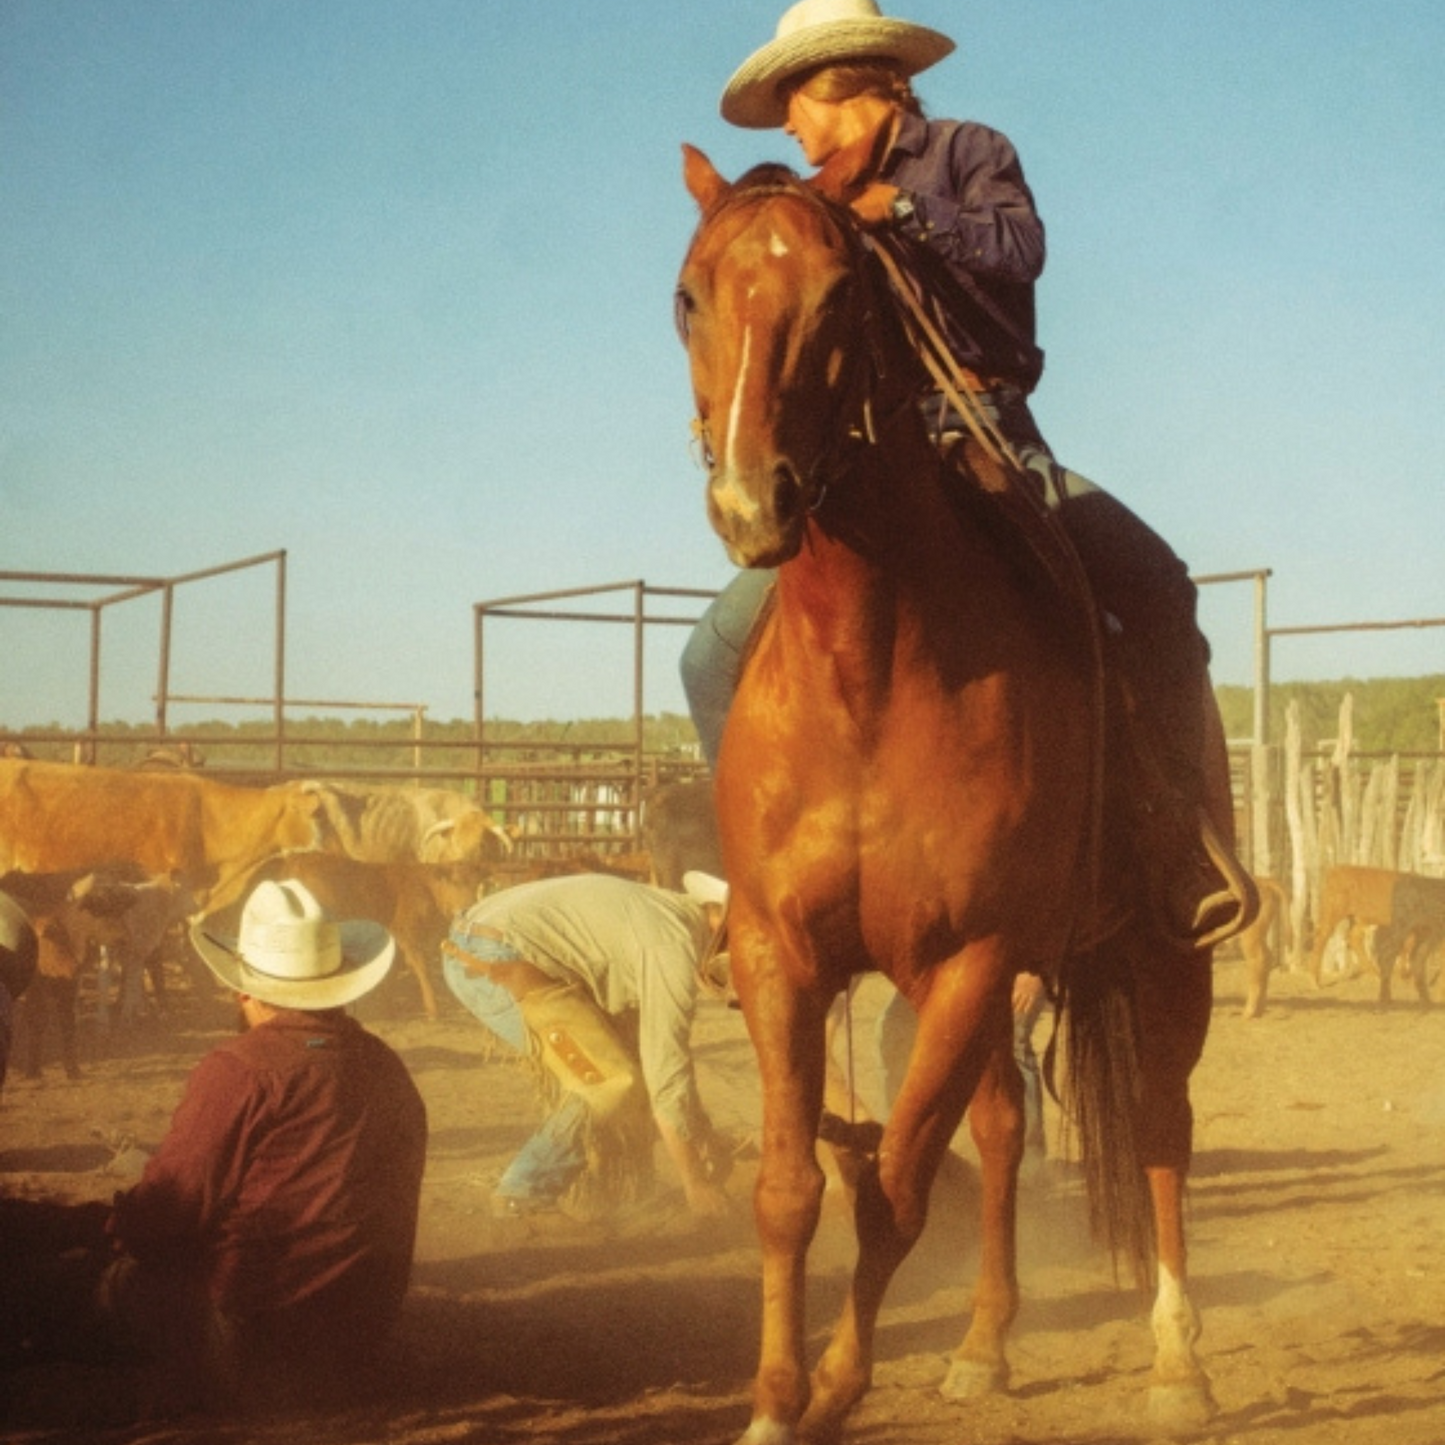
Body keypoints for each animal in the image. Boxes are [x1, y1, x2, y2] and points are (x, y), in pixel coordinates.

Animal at [682, 146, 1225, 1445]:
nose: (751, 503)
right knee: (1004, 1124)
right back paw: (983, 1341)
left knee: (1160, 1130)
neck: (869, 673)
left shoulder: (971, 955)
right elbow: (793, 1188)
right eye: (687, 295)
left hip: (1156, 959)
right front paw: (775, 1398)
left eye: (838, 294)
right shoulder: (784, 954)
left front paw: (837, 1382)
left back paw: (1176, 1361)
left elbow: (891, 1188)